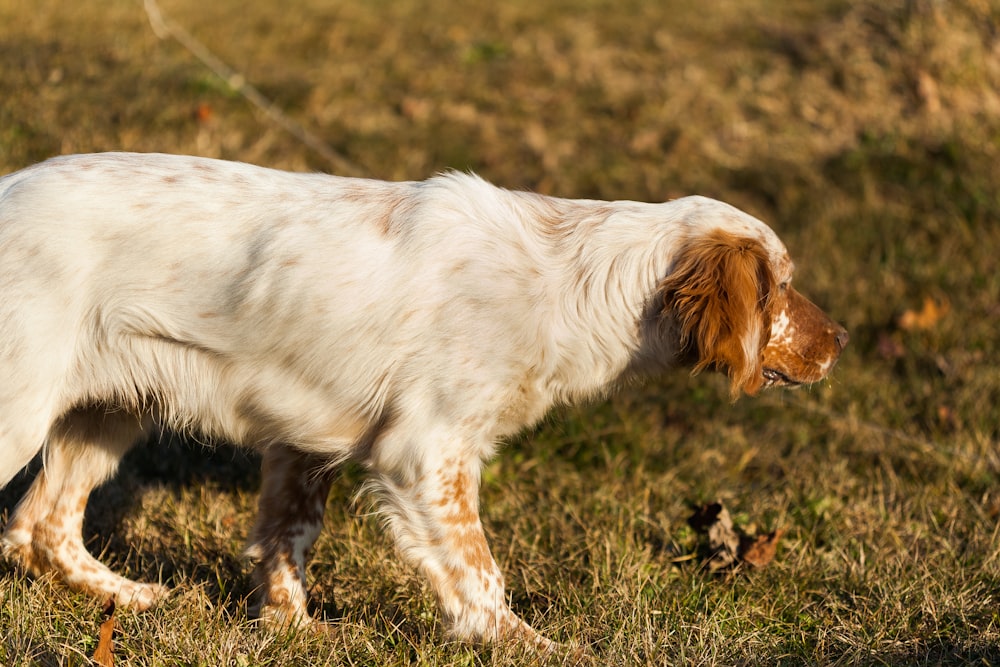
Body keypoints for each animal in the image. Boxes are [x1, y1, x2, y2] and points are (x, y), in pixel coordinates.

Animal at [0, 154, 844, 648]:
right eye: (782, 285)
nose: (839, 339)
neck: (574, 277)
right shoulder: (424, 453)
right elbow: (480, 575)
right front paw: (530, 647)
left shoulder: (305, 438)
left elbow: (288, 536)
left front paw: (291, 629)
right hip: (24, 407)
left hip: (106, 409)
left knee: (41, 524)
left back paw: (131, 595)